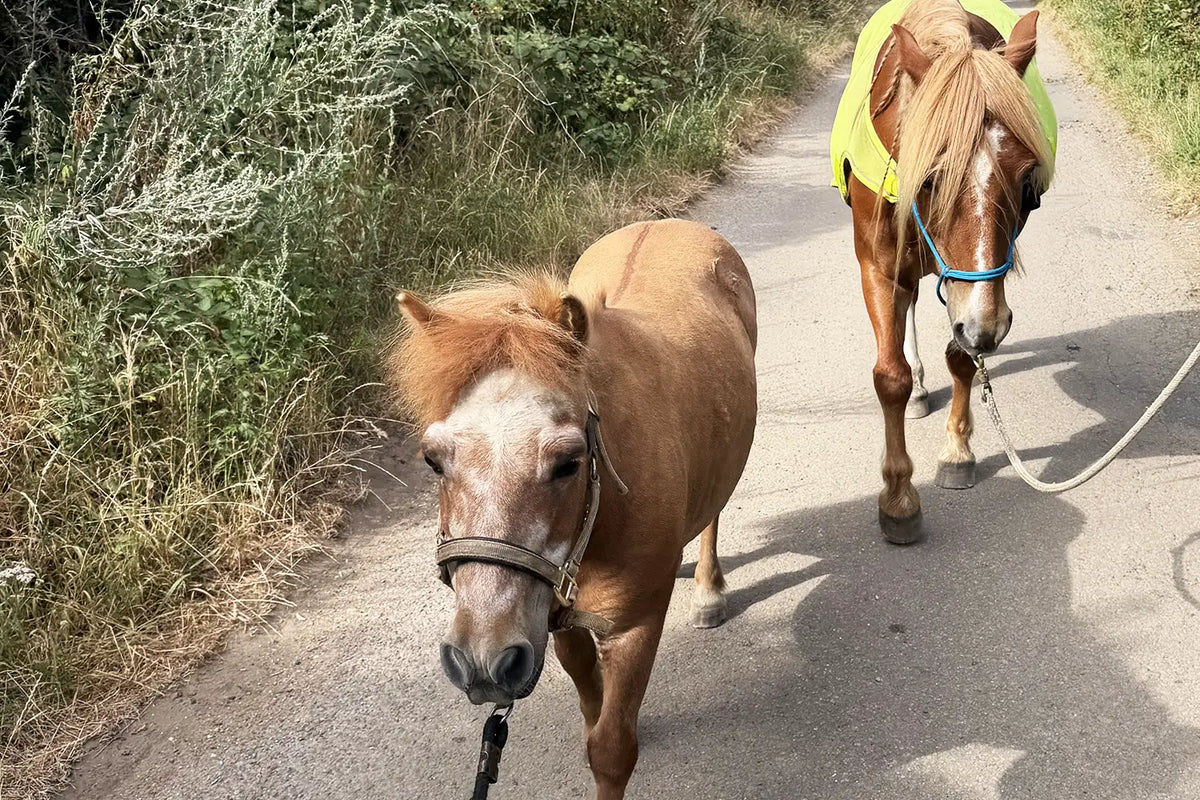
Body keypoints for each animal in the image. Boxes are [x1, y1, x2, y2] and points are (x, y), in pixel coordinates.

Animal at [386, 218, 758, 798]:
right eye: (433, 460)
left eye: (568, 461)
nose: (482, 661)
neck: (599, 521)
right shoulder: (557, 625)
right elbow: (591, 706)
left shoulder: (634, 629)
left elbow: (611, 750)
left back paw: (708, 591)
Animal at [830, 0, 1057, 543]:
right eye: (931, 178)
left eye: (1025, 179)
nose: (987, 328)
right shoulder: (879, 266)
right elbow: (888, 375)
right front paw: (898, 498)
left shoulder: (975, 291)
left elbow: (962, 357)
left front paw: (957, 451)